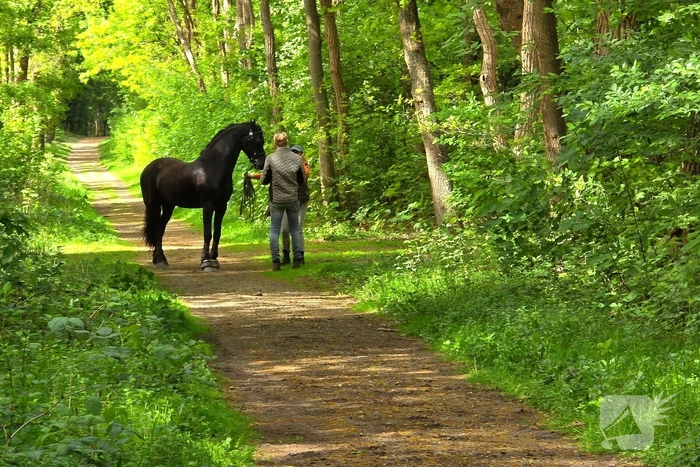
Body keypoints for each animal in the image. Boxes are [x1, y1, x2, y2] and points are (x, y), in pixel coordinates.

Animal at [139, 121, 266, 270]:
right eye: (257, 140)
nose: (261, 163)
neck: (211, 168)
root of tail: (149, 167)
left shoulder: (222, 206)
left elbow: (217, 232)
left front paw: (214, 259)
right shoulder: (208, 206)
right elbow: (207, 233)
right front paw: (205, 261)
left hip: (168, 206)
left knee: (160, 229)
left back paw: (160, 259)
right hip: (153, 204)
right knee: (156, 228)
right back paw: (159, 259)